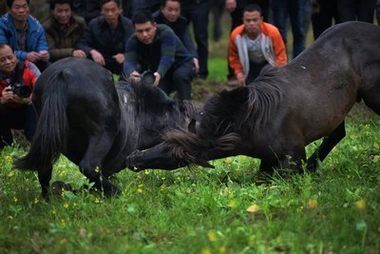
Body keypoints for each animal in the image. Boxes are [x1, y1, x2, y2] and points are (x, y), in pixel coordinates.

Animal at [14, 57, 199, 198]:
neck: (140, 112)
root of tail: (63, 74)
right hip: (103, 132)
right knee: (88, 166)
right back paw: (116, 192)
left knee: (44, 169)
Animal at [127, 21, 380, 173]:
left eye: (175, 151)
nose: (133, 158)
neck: (259, 119)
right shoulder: (268, 159)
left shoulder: (292, 155)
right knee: (338, 132)